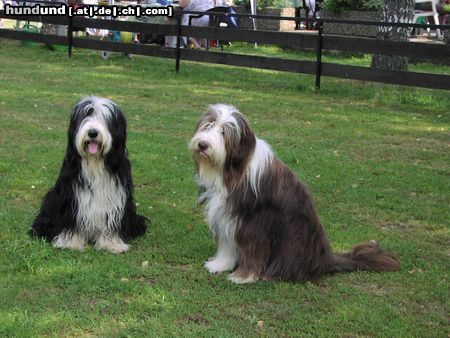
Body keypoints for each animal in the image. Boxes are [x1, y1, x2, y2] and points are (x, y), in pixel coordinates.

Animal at [29, 96, 148, 252]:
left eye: (105, 117)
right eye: (85, 116)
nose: (92, 133)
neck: (95, 163)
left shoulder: (117, 196)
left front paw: (111, 243)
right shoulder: (71, 196)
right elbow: (71, 219)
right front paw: (71, 242)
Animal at [188, 104, 400, 284]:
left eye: (224, 132)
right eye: (208, 124)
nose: (203, 145)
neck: (233, 170)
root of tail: (325, 260)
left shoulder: (254, 223)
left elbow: (253, 249)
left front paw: (245, 276)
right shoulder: (227, 216)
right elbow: (227, 244)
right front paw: (220, 265)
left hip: (292, 244)